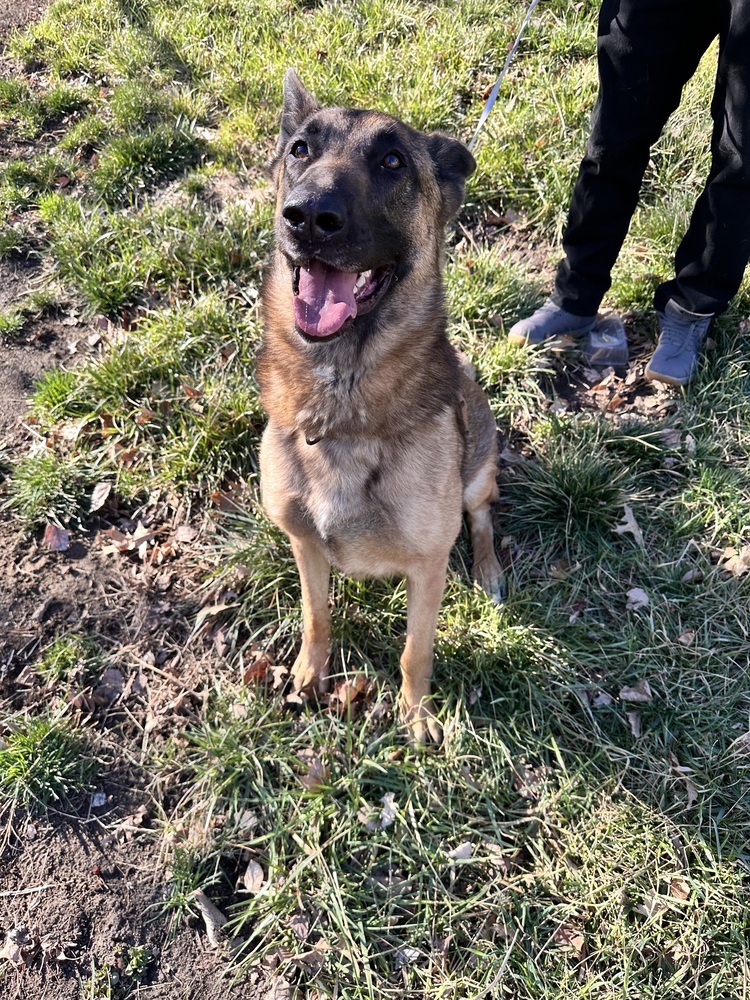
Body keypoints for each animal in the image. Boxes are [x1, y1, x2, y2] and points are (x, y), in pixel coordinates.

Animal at [258, 70, 506, 744]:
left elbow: (414, 651)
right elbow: (316, 617)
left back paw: (489, 570)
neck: (341, 404)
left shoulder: (427, 569)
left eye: (393, 161)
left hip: (478, 472)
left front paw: (416, 714)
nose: (308, 217)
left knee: (482, 517)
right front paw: (308, 676)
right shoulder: (305, 546)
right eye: (301, 150)